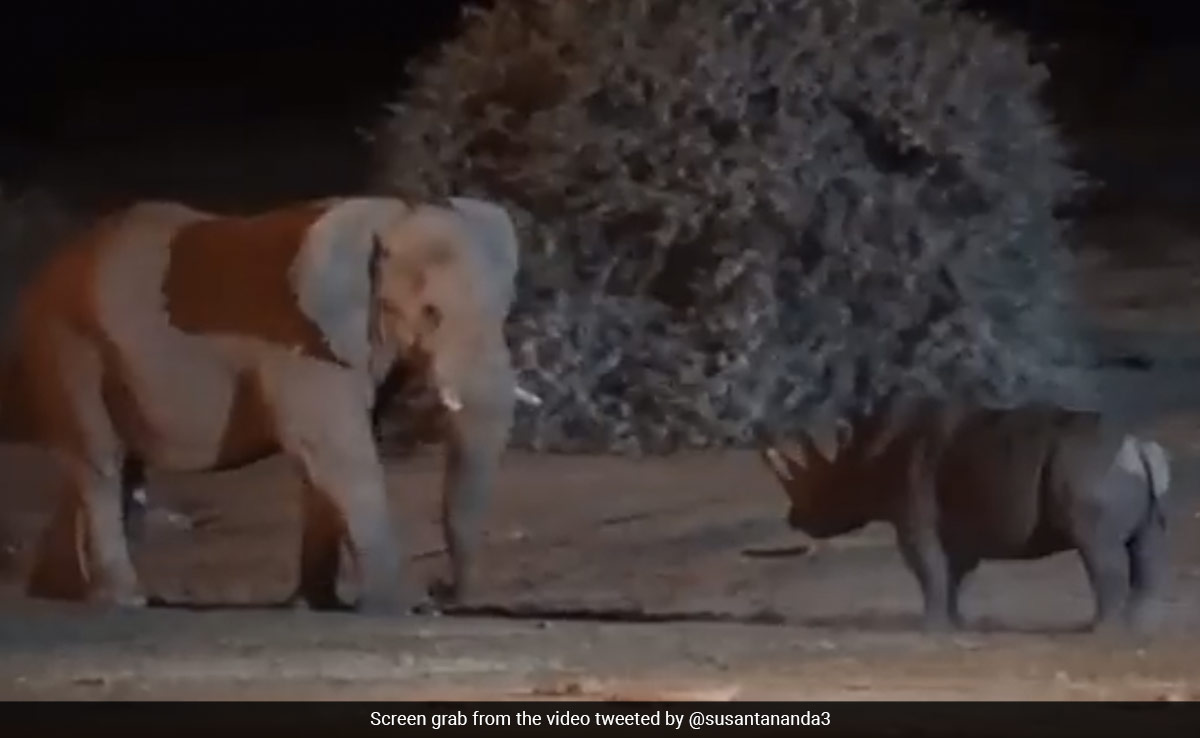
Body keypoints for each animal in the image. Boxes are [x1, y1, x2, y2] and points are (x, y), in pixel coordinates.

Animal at [0, 195, 540, 614]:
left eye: (504, 310)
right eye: (431, 314)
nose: (441, 592)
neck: (387, 216)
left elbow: (322, 464)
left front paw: (318, 605)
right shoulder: (300, 342)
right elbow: (336, 449)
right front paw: (395, 607)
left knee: (112, 467)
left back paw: (57, 593)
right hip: (66, 344)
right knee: (99, 462)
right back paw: (120, 600)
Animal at [756, 397, 1172, 633]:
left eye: (826, 487)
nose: (795, 518)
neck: (868, 457)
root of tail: (1139, 446)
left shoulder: (915, 518)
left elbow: (928, 569)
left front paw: (928, 629)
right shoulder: (958, 528)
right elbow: (953, 573)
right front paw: (955, 624)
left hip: (1088, 469)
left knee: (1097, 548)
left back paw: (1099, 631)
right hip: (1107, 469)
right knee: (1145, 546)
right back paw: (1138, 628)